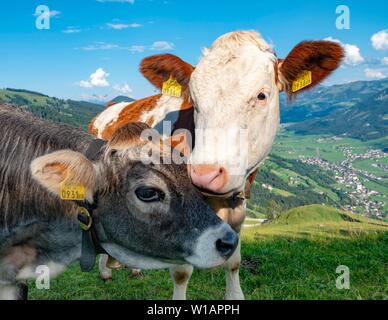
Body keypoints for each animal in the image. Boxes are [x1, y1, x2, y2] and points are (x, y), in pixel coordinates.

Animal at [88, 30, 342, 300]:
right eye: (194, 101)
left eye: (261, 95)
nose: (204, 174)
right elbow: (181, 271)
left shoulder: (239, 208)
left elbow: (234, 261)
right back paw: (105, 271)